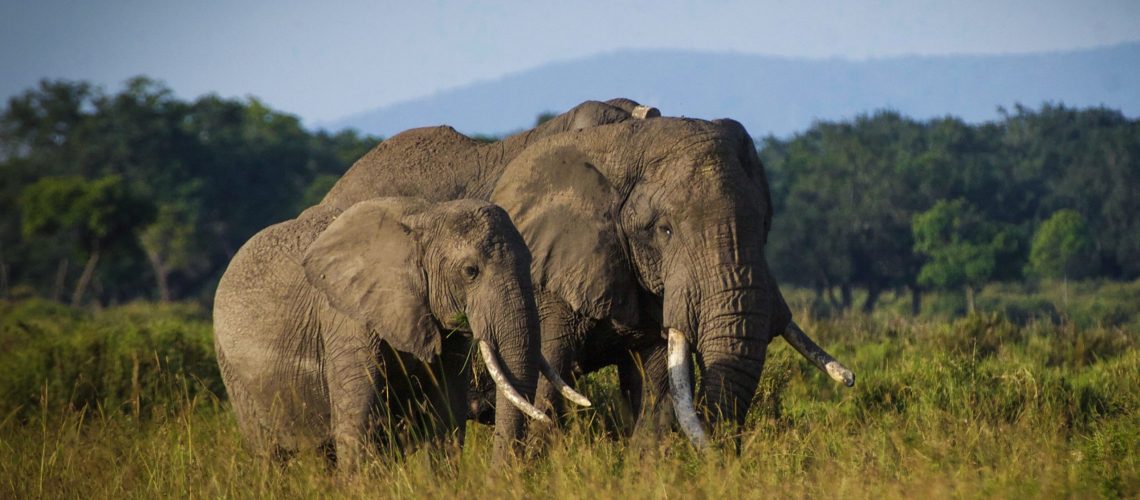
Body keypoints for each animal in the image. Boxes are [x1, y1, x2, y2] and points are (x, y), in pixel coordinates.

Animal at [213, 197, 585, 467]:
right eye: (471, 271)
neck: (425, 218)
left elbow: (446, 417)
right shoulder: (344, 319)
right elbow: (359, 419)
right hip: (234, 373)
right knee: (269, 455)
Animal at [317, 99, 854, 448]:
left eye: (764, 224)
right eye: (664, 229)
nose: (849, 378)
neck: (627, 142)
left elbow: (655, 385)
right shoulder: (549, 271)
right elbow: (544, 381)